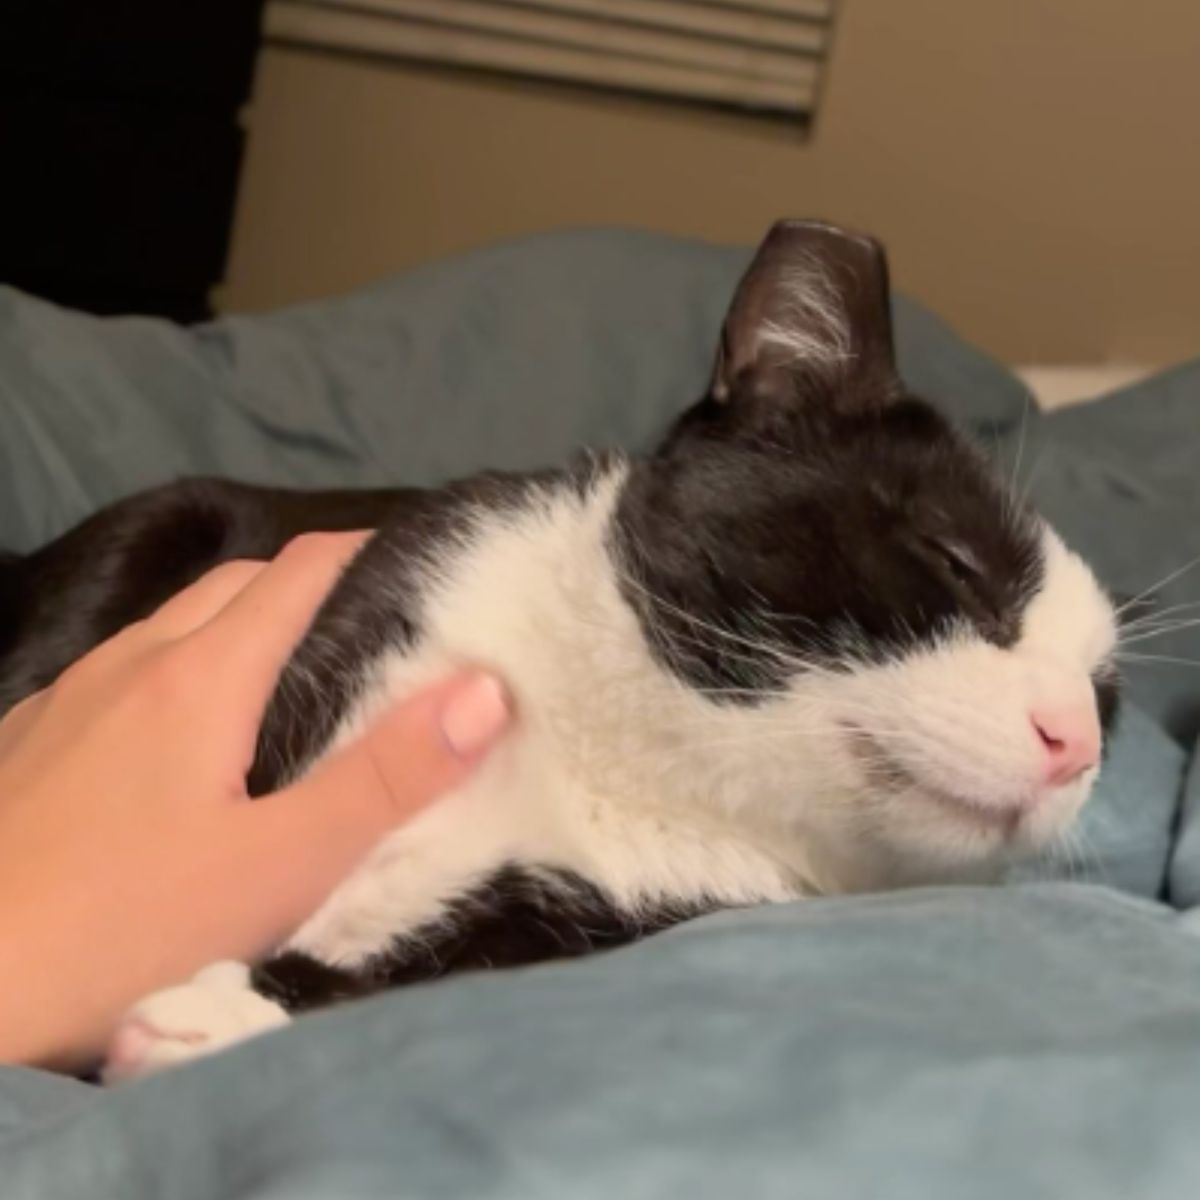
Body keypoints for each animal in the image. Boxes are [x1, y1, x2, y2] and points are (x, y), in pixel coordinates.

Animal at [0, 220, 1118, 1084]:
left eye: (1106, 690)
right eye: (956, 562)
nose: (1077, 742)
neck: (627, 751)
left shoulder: (611, 919)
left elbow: (441, 974)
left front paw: (230, 1011)